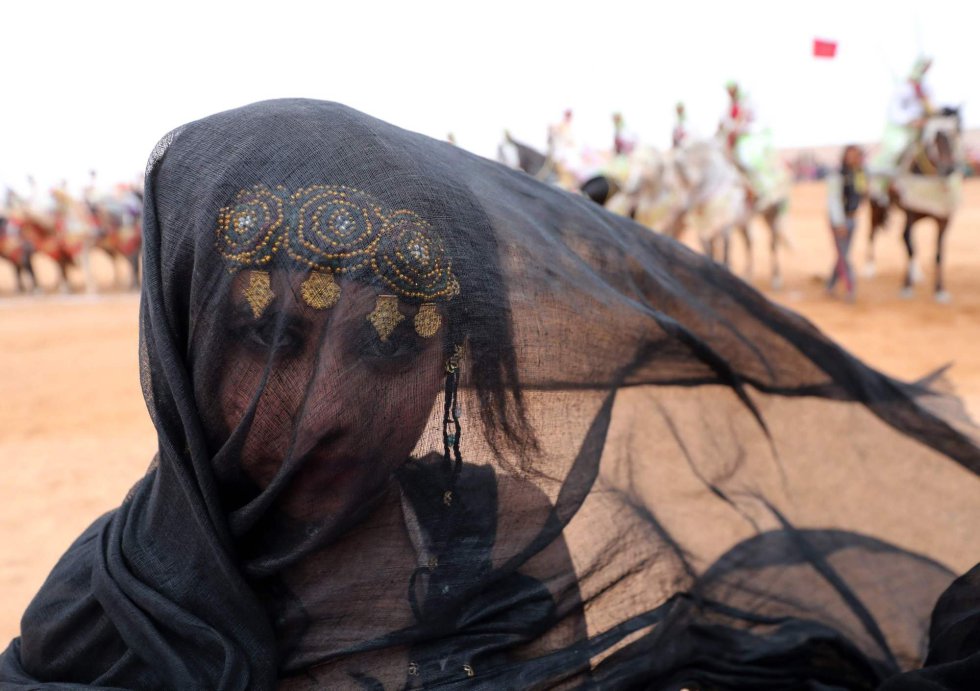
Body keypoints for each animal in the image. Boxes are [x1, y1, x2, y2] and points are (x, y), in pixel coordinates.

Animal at [868, 109, 960, 302]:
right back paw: (870, 268)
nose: (949, 169)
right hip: (875, 207)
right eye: (935, 137)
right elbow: (910, 246)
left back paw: (916, 273)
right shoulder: (910, 214)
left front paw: (940, 290)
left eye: (955, 134)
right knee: (873, 233)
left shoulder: (944, 219)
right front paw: (906, 287)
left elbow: (938, 253)